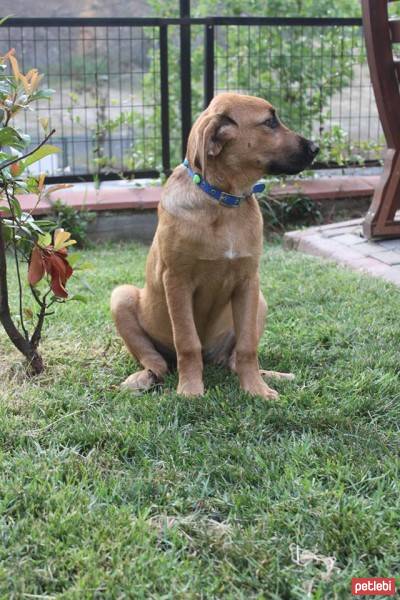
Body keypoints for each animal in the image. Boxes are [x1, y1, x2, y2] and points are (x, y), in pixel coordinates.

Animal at [110, 91, 318, 398]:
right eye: (269, 122)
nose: (316, 148)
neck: (224, 201)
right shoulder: (177, 280)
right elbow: (187, 342)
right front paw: (190, 390)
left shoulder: (248, 281)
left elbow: (247, 347)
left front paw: (256, 389)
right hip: (121, 297)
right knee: (156, 362)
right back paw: (144, 378)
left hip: (261, 301)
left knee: (233, 359)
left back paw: (272, 375)